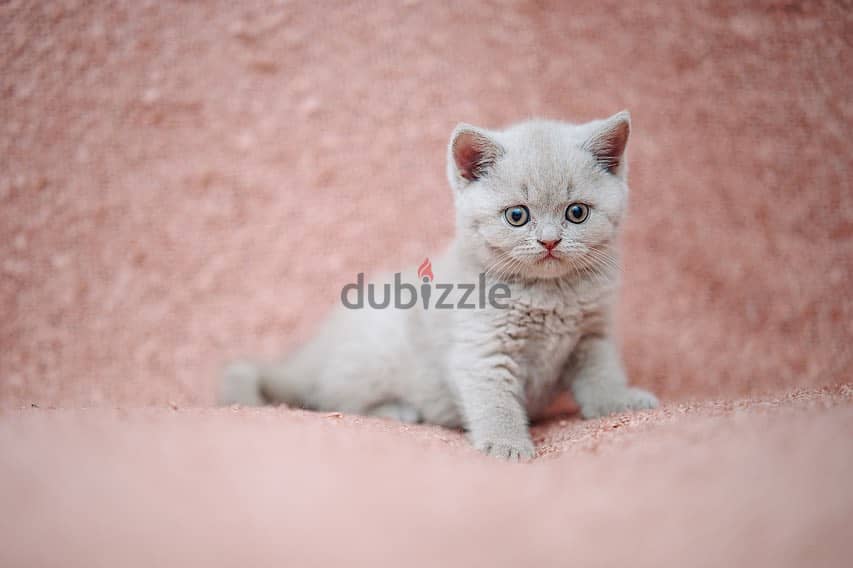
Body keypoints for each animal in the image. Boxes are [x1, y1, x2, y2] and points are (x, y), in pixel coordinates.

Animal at [221, 112, 660, 462]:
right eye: (517, 215)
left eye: (577, 212)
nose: (549, 241)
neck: (549, 293)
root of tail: (309, 351)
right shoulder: (482, 347)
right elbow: (494, 400)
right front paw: (506, 444)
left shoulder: (592, 337)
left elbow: (603, 375)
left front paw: (620, 403)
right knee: (332, 400)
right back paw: (397, 410)